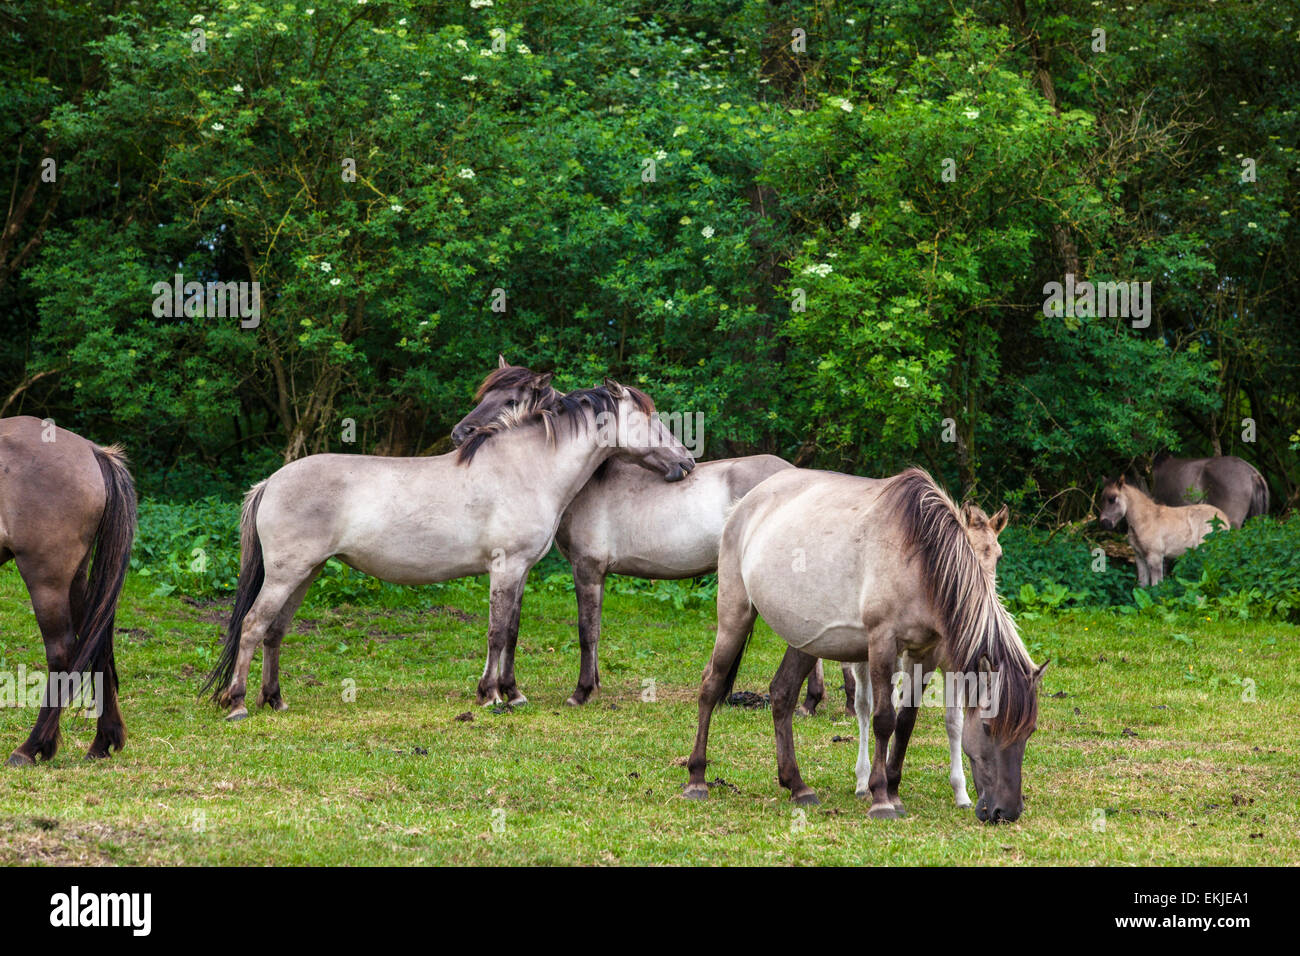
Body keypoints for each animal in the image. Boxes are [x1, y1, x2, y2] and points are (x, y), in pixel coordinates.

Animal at [0, 418, 137, 770]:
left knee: (62, 653)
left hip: (48, 580)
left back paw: (32, 746)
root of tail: (92, 450)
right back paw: (103, 741)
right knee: (98, 646)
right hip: (76, 578)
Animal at [200, 377, 691, 723]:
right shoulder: (504, 568)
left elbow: (512, 631)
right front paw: (489, 695)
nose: (685, 461)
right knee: (253, 625)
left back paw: (275, 701)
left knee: (275, 631)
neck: (526, 470)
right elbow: (497, 632)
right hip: (287, 573)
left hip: (307, 573)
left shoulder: (520, 571)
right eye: (652, 420)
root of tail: (270, 481)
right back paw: (238, 703)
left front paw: (513, 694)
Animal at [681, 468, 1045, 827]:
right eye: (986, 727)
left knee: (782, 695)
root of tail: (744, 505)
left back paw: (797, 786)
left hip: (804, 639)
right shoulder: (883, 642)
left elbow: (906, 720)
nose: (1005, 811)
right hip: (735, 614)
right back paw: (697, 780)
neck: (920, 559)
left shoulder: (924, 653)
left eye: (1030, 731)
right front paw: (881, 797)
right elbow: (884, 719)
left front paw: (894, 791)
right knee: (711, 685)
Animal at [1097, 476, 1227, 587]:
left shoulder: (1155, 558)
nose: (1104, 523)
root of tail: (1224, 519)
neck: (1146, 520)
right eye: (1102, 499)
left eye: (1112, 499)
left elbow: (1156, 586)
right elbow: (1142, 585)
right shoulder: (1139, 557)